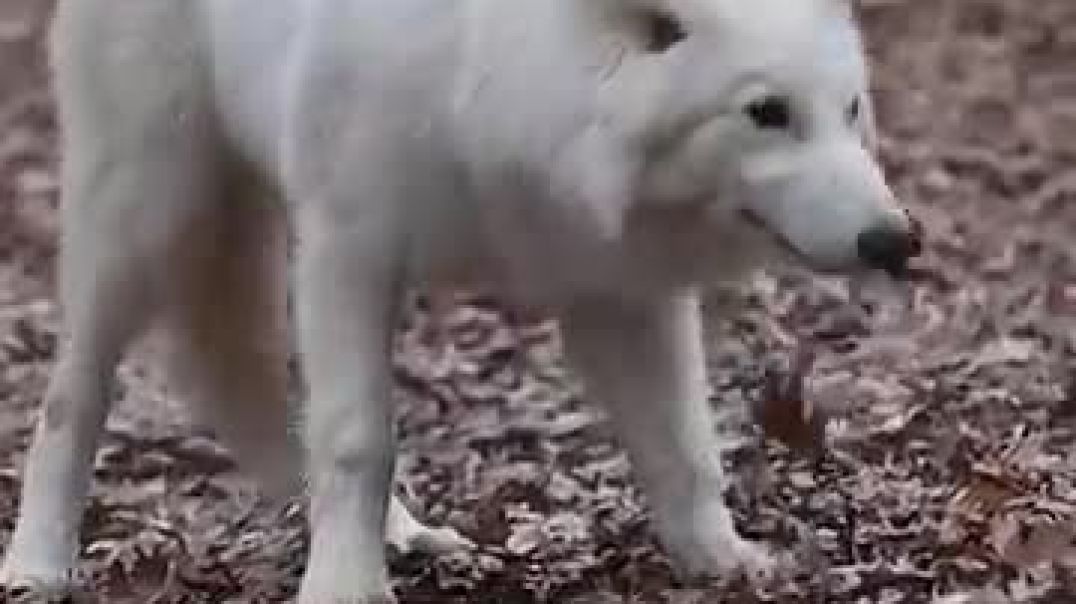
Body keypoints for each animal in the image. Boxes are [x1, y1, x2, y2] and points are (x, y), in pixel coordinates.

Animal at [1, 0, 920, 601]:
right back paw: (36, 565)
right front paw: (345, 590)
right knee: (69, 397)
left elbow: (686, 449)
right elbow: (357, 442)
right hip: (143, 215)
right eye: (766, 112)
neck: (487, 76)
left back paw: (407, 535)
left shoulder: (622, 289)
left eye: (850, 110)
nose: (897, 240)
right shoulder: (346, 257)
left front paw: (723, 562)